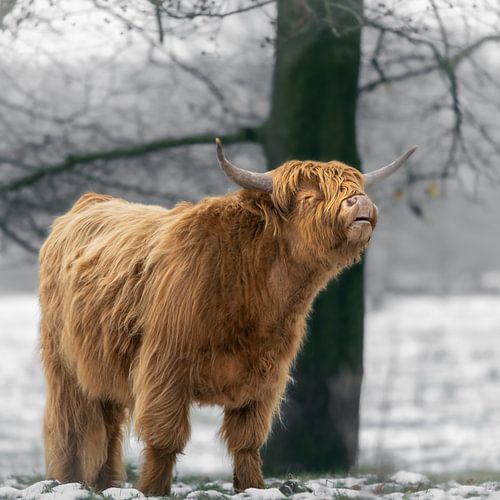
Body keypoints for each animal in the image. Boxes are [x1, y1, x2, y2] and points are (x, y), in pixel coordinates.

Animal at [38, 139, 414, 494]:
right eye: (310, 196)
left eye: (356, 188)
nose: (360, 204)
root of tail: (90, 202)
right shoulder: (166, 367)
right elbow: (165, 437)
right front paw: (153, 490)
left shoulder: (267, 376)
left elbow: (246, 440)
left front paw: (254, 487)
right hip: (65, 368)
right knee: (72, 426)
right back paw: (70, 480)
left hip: (103, 370)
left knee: (108, 424)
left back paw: (106, 484)